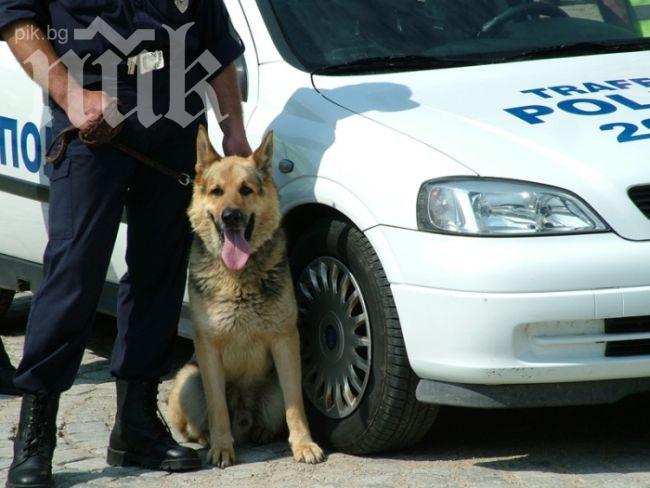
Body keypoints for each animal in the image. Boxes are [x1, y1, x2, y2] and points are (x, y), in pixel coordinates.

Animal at [167, 127, 324, 468]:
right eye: (216, 191)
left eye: (246, 190)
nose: (231, 217)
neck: (237, 278)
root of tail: (245, 416)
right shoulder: (208, 347)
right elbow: (217, 408)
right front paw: (222, 448)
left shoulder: (285, 341)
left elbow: (295, 406)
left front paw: (303, 444)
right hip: (188, 380)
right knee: (197, 423)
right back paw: (209, 438)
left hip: (274, 384)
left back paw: (263, 432)